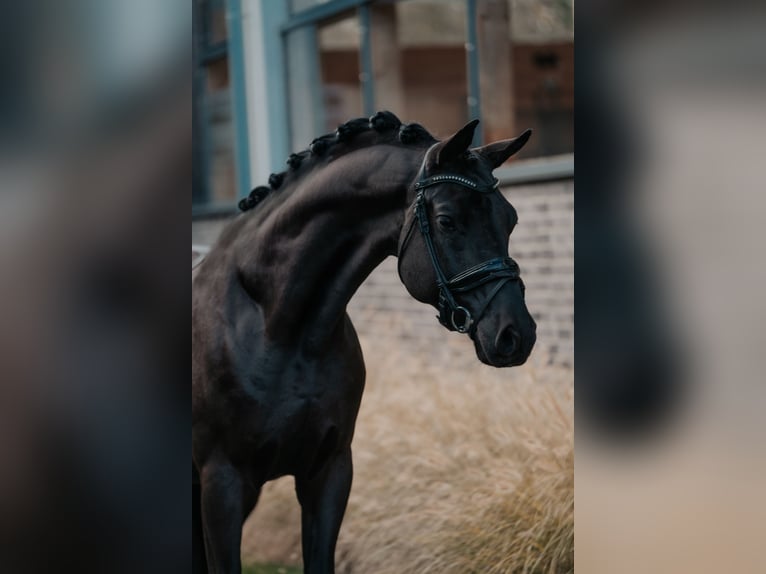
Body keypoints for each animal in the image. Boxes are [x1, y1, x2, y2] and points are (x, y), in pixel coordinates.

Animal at [195, 112, 536, 574]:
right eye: (447, 220)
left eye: (511, 219)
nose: (517, 334)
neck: (277, 327)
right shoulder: (223, 484)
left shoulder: (329, 473)